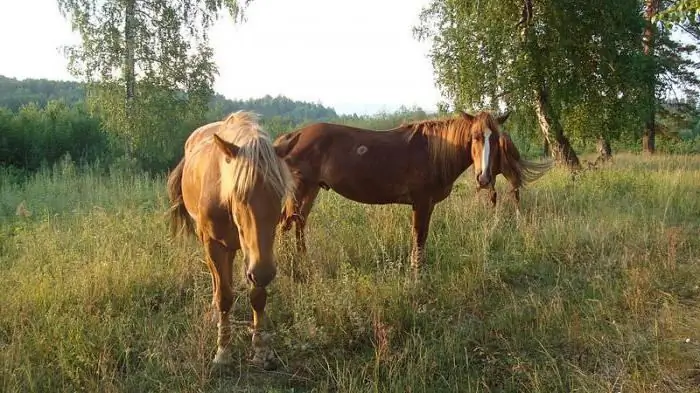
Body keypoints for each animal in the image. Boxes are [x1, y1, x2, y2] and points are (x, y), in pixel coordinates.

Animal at [168, 110, 294, 368]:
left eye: (279, 194)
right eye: (238, 194)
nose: (263, 273)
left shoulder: (257, 254)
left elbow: (258, 296)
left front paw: (260, 349)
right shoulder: (215, 245)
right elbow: (224, 296)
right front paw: (223, 351)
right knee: (217, 282)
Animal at [274, 110, 552, 276]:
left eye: (495, 140)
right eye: (474, 137)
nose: (483, 178)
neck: (434, 151)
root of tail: (292, 136)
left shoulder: (426, 204)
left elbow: (422, 235)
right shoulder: (422, 201)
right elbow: (419, 235)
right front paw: (417, 272)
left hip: (312, 190)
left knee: (299, 224)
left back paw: (303, 261)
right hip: (300, 189)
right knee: (284, 225)